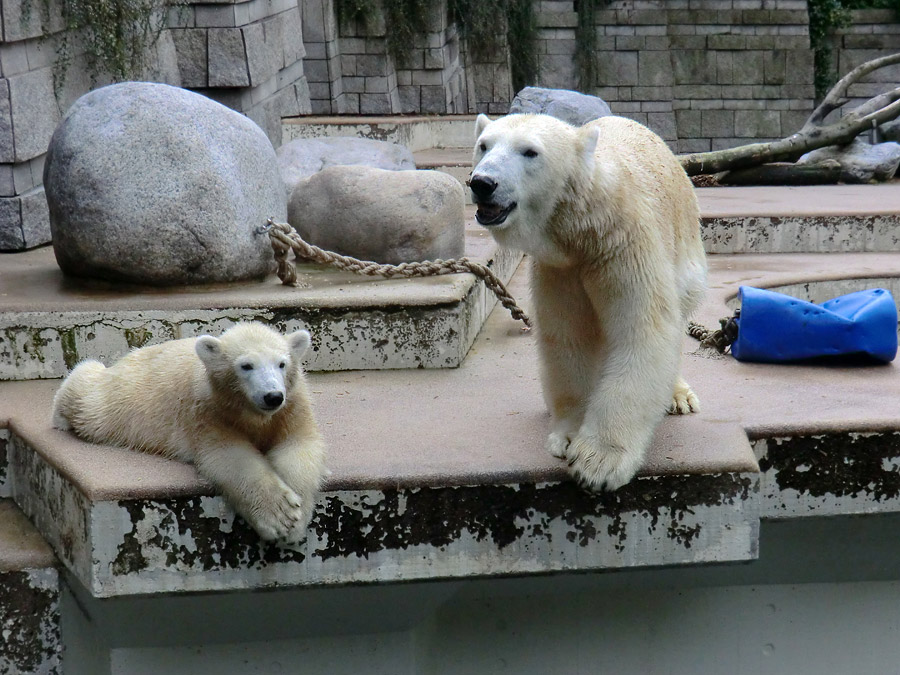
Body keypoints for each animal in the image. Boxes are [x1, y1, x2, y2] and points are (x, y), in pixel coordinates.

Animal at [468, 111, 708, 492]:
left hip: (685, 248)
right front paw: (568, 437)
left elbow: (641, 332)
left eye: (530, 151)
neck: (582, 229)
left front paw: (599, 463)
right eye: (483, 145)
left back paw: (678, 395)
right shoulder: (559, 268)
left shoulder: (625, 246)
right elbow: (569, 338)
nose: (482, 183)